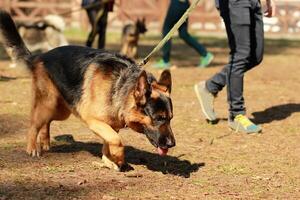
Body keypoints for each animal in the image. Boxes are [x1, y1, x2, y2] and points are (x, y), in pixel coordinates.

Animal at [0, 9, 175, 171]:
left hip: (61, 110)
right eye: (158, 118)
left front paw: (108, 160)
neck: (119, 84)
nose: (172, 144)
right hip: (48, 103)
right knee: (33, 123)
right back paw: (32, 148)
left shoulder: (111, 125)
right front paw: (118, 158)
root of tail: (40, 56)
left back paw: (45, 141)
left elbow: (109, 142)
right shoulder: (93, 120)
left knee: (46, 121)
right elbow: (116, 140)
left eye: (170, 118)